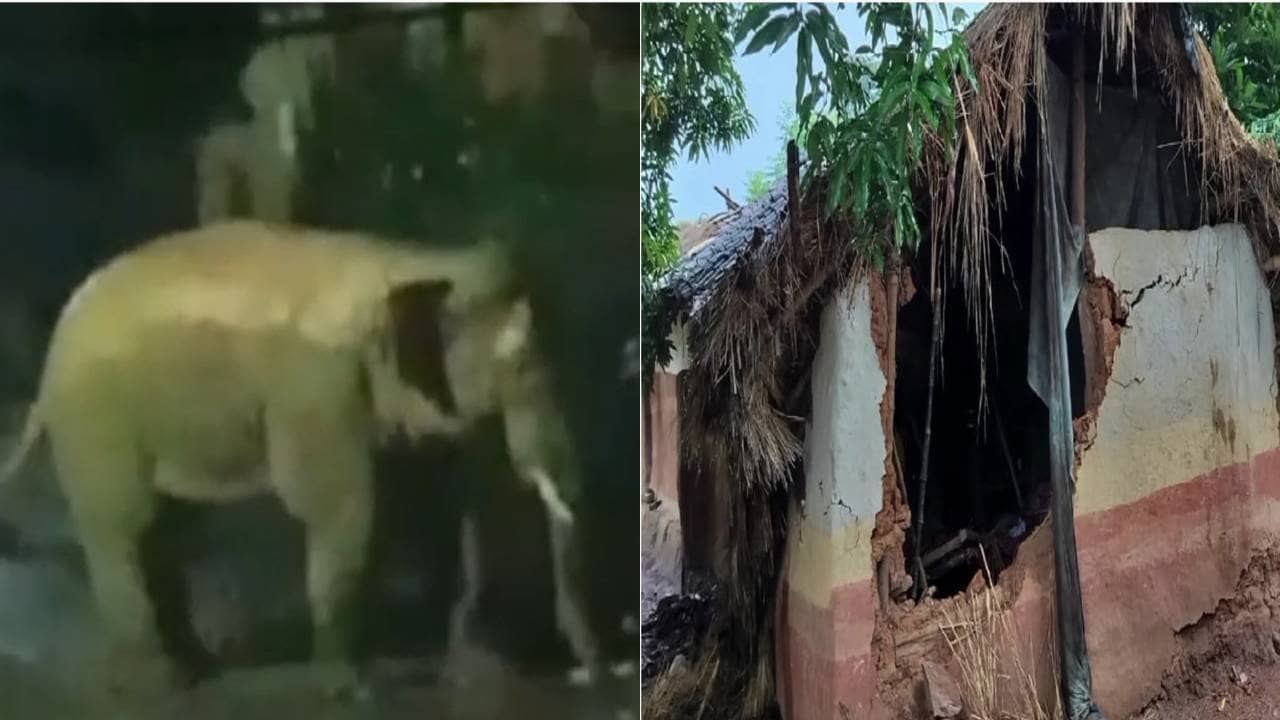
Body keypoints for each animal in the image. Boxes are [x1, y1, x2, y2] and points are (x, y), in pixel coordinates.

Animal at [0, 219, 597, 695]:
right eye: (520, 365)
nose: (590, 673)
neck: (413, 260)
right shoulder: (317, 386)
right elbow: (340, 507)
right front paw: (348, 690)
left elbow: (438, 505)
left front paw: (463, 674)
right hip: (95, 416)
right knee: (125, 524)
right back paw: (156, 684)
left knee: (168, 528)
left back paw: (195, 669)